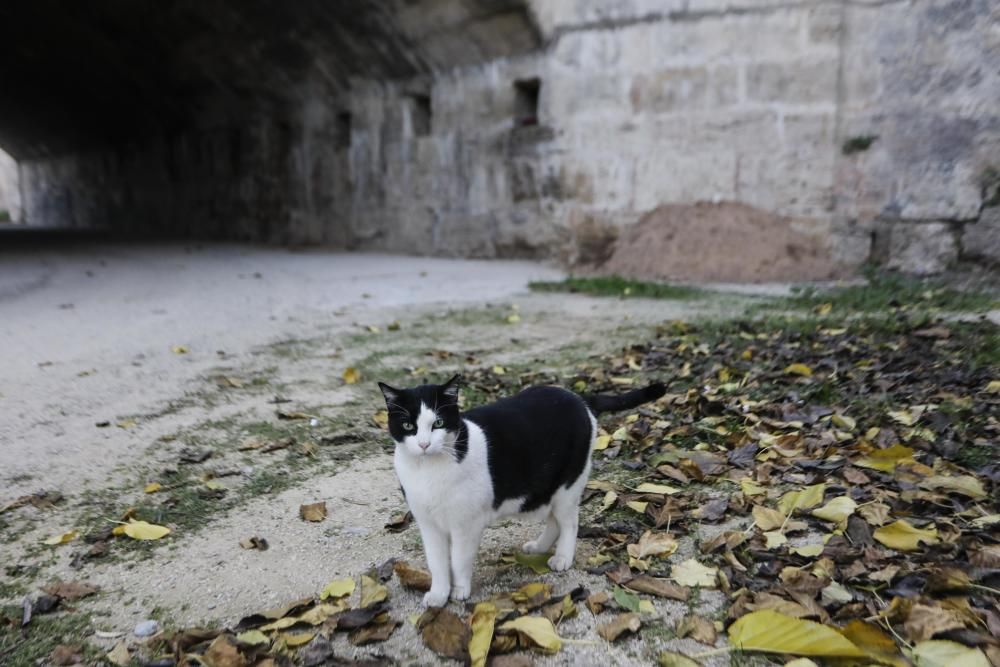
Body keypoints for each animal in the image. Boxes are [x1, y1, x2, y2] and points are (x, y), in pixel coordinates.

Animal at [376, 374, 664, 608]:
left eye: (438, 422)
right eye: (408, 426)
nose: (424, 444)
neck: (428, 470)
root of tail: (577, 396)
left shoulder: (466, 525)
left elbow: (458, 560)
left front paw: (459, 590)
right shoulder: (428, 524)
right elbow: (437, 563)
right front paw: (438, 594)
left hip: (568, 484)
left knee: (569, 521)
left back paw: (562, 557)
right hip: (546, 488)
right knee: (554, 520)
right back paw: (539, 546)